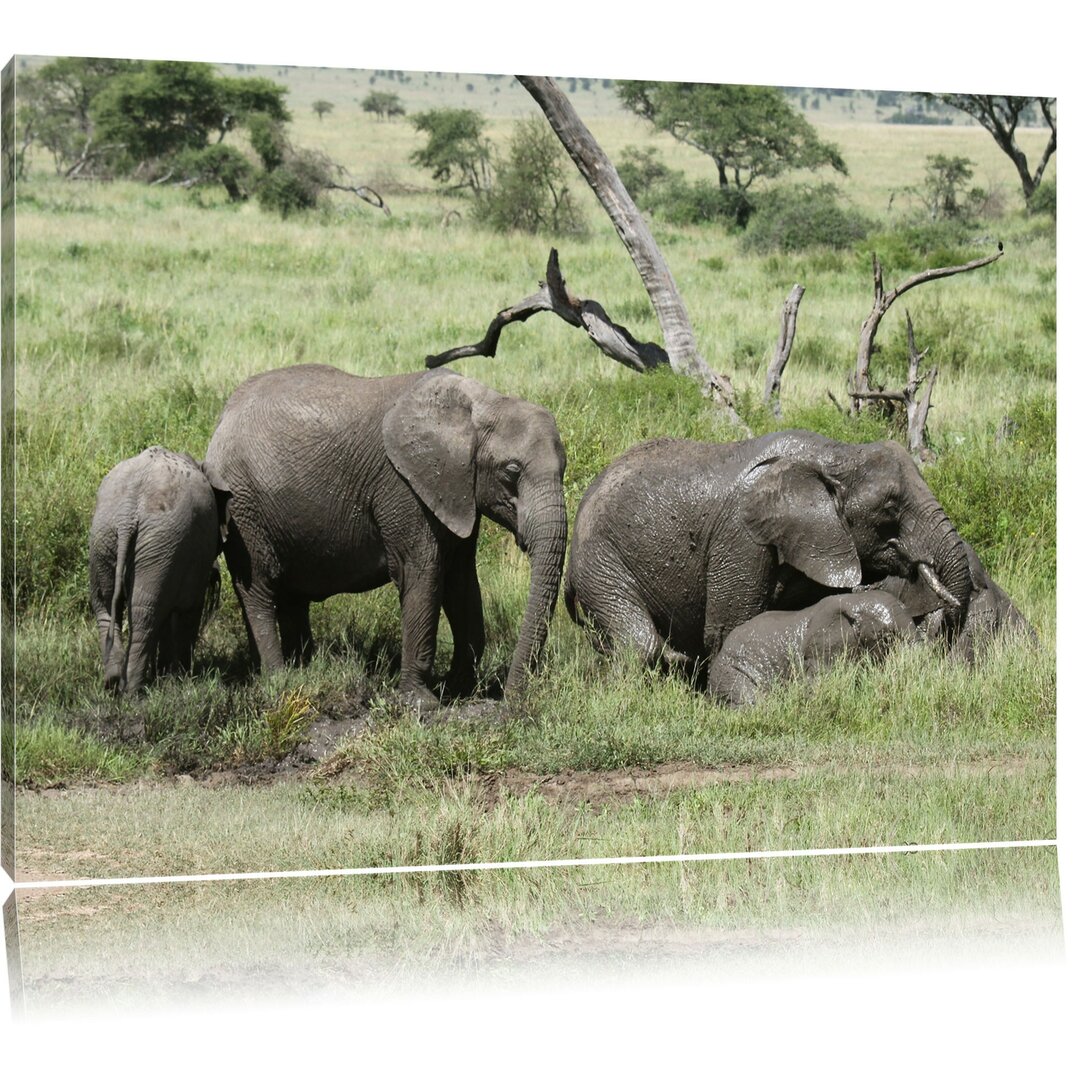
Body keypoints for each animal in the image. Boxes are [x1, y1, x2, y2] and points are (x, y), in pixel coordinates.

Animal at [89, 444, 222, 691]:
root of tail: (127, 512)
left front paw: (165, 676)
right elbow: (189, 610)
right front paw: (179, 678)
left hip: (106, 536)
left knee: (106, 604)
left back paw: (113, 683)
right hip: (159, 540)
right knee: (144, 614)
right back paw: (133, 691)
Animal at [204, 362, 574, 708]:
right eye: (511, 472)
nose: (512, 696)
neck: (479, 406)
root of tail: (221, 420)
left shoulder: (454, 490)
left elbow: (462, 581)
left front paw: (459, 689)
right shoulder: (404, 487)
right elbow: (422, 573)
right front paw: (424, 703)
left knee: (292, 597)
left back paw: (302, 670)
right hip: (244, 508)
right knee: (259, 588)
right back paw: (278, 680)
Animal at [565, 427, 972, 673]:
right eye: (890, 506)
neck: (834, 454)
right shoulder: (742, 537)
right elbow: (731, 626)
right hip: (599, 560)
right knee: (641, 643)